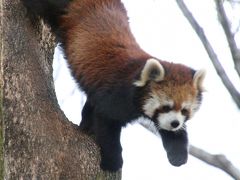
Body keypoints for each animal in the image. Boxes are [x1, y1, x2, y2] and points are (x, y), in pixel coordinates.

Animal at [22, 0, 205, 172]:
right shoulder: (114, 95)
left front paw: (178, 154)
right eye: (166, 106)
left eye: (184, 111)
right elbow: (106, 125)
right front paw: (113, 160)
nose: (175, 123)